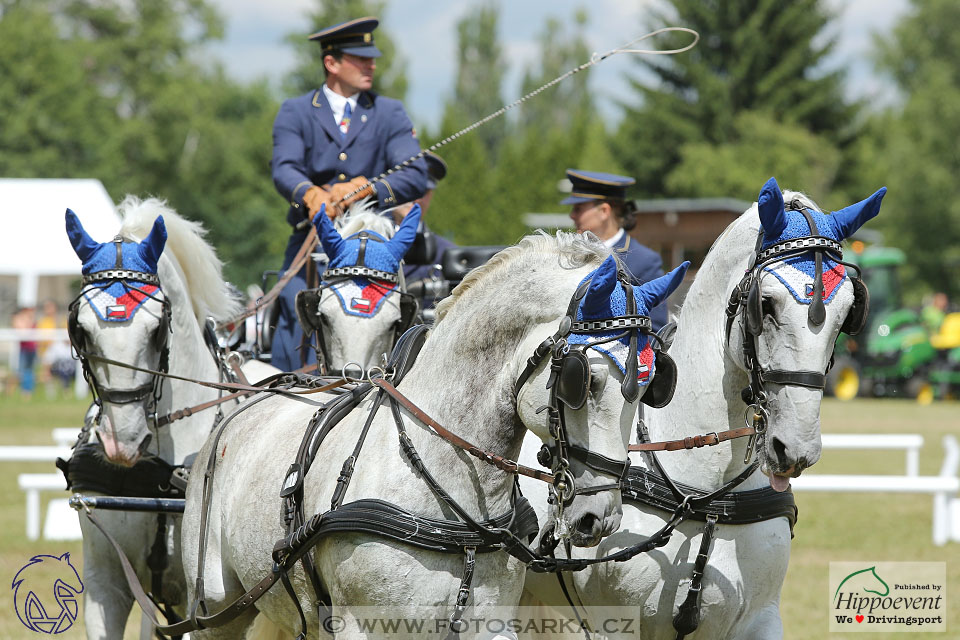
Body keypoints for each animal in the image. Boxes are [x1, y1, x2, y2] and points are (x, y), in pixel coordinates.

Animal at [180, 235, 688, 640]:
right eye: (584, 381)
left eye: (651, 384)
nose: (599, 517)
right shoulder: (360, 626)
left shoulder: (489, 624)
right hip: (216, 608)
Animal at [520, 178, 888, 636]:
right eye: (765, 305)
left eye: (848, 313)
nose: (795, 449)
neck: (709, 491)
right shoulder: (616, 625)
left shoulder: (760, 619)